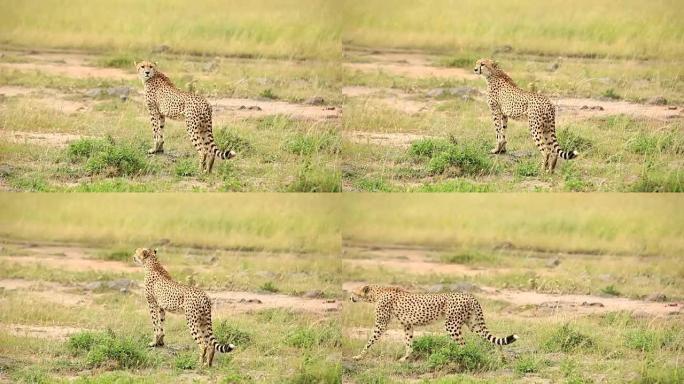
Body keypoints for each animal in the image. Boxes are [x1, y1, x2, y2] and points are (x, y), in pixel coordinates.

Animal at [350, 284, 516, 362]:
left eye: (353, 292)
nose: (350, 298)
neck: (377, 293)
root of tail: (469, 294)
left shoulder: (381, 324)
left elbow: (370, 341)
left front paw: (358, 356)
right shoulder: (408, 325)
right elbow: (409, 342)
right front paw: (406, 358)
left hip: (451, 325)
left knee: (464, 345)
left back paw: (460, 359)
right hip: (473, 324)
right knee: (493, 340)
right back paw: (502, 359)